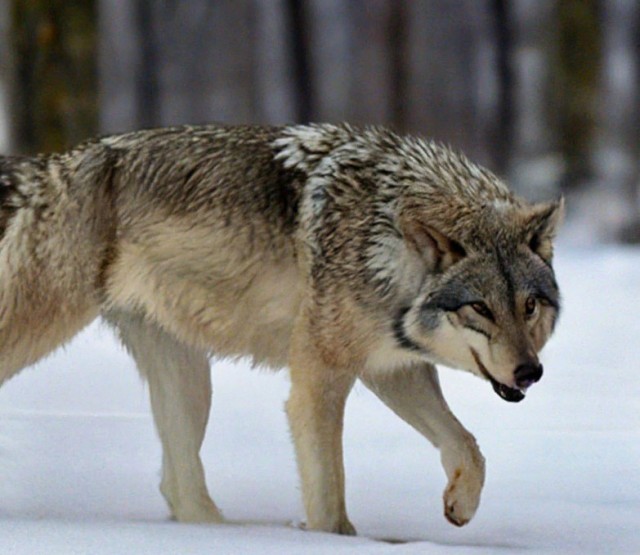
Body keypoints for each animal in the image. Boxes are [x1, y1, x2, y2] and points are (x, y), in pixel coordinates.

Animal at [0, 123, 562, 534]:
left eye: (530, 305)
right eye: (480, 308)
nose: (530, 372)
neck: (383, 235)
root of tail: (59, 161)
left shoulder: (391, 367)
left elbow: (467, 445)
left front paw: (460, 506)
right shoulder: (318, 380)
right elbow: (329, 499)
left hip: (189, 384)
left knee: (177, 489)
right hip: (46, 329)